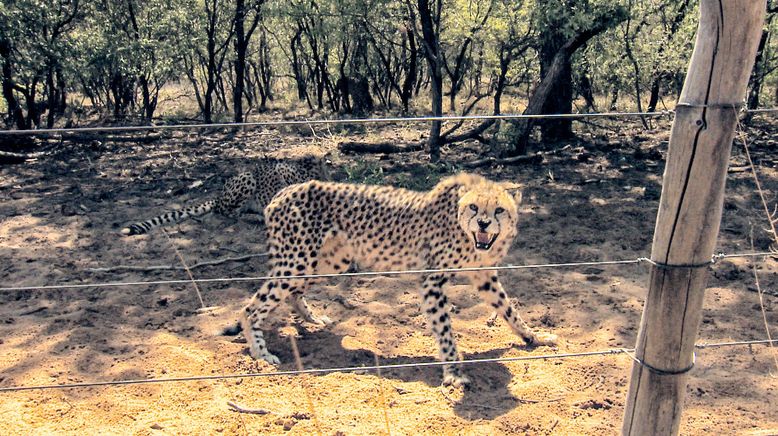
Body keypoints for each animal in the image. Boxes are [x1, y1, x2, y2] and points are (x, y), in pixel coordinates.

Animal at [239, 172, 556, 386]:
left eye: (499, 209)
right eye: (474, 208)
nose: (483, 223)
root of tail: (282, 192)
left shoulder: (484, 276)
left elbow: (510, 310)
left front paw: (534, 337)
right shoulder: (431, 281)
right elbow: (445, 331)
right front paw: (453, 373)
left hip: (326, 263)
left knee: (290, 294)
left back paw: (312, 319)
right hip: (298, 261)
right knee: (250, 307)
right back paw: (261, 354)